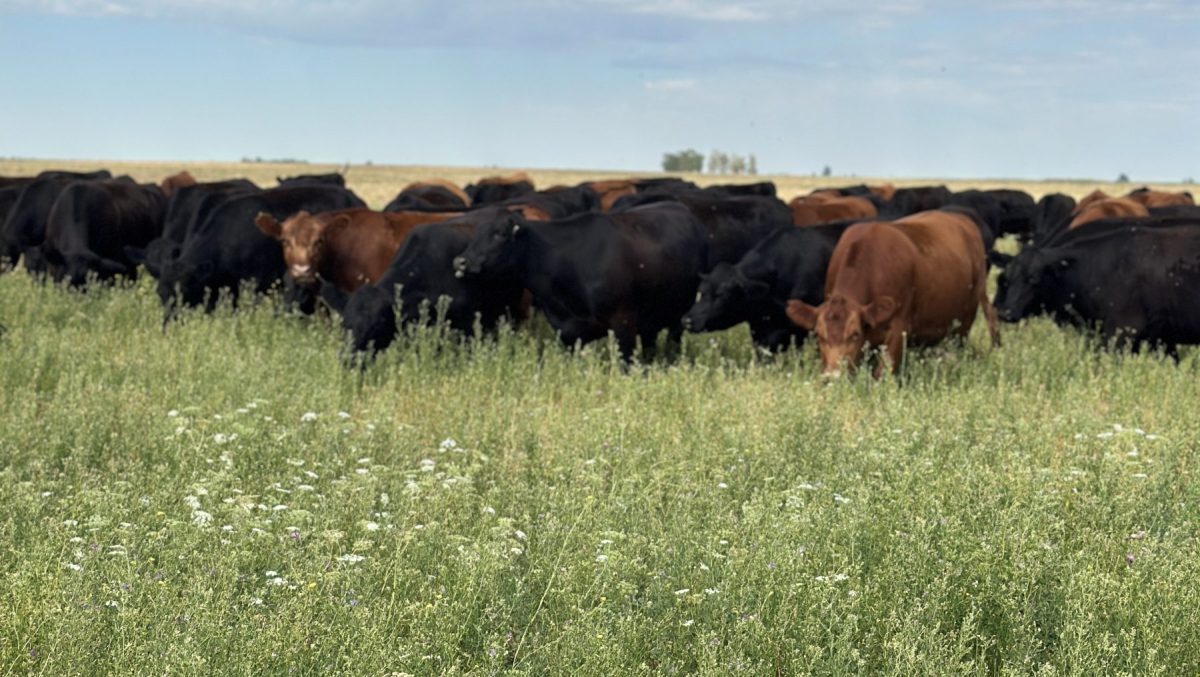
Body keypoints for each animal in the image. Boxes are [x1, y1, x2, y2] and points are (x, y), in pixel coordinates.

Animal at [452, 203, 708, 361]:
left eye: (500, 234)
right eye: (476, 233)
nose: (460, 261)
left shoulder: (623, 322)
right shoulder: (568, 333)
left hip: (679, 314)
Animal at [785, 210, 1000, 377]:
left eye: (855, 334)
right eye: (819, 335)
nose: (833, 376)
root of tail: (963, 220)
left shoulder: (898, 330)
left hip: (965, 320)